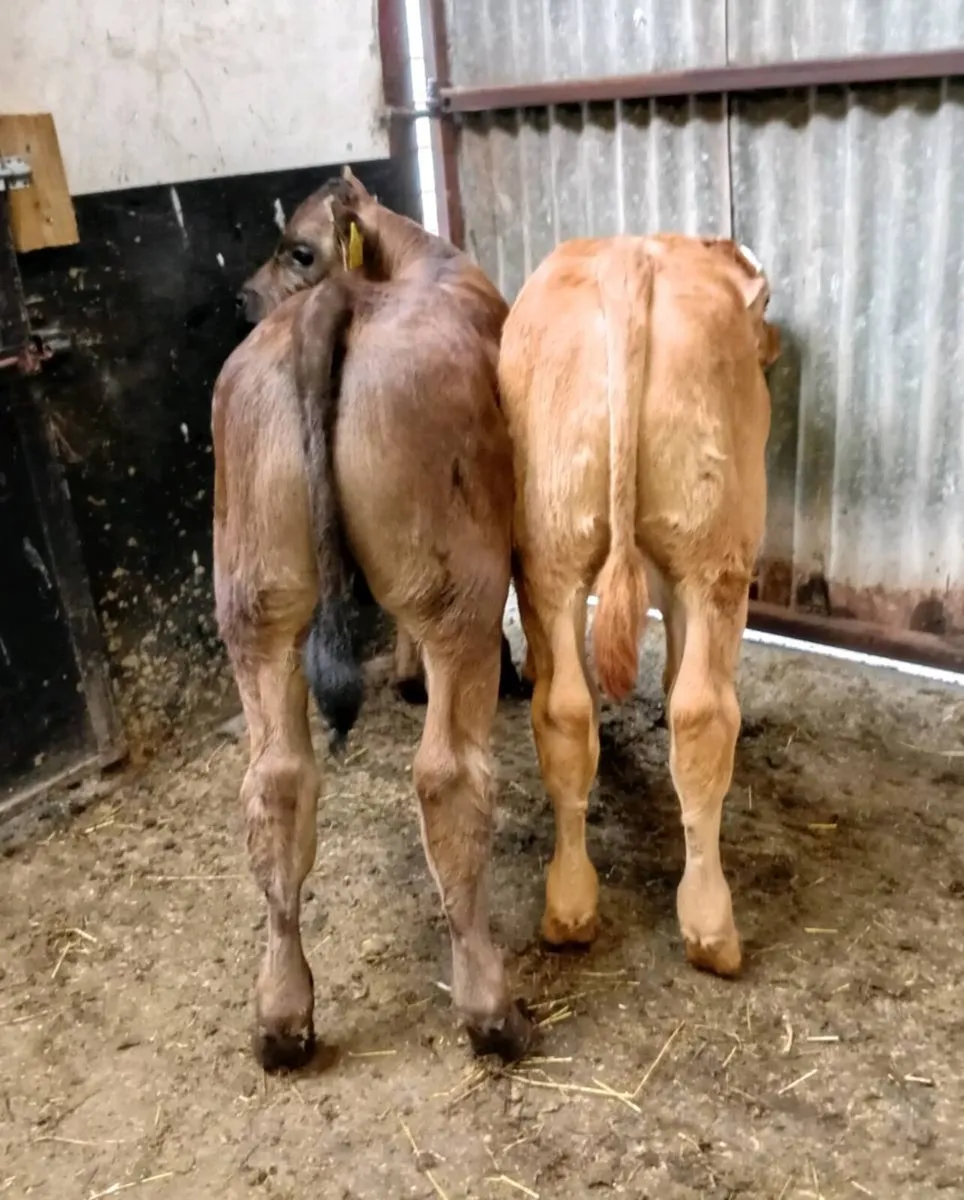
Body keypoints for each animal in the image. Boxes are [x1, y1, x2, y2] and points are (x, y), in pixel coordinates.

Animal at [498, 234, 780, 974]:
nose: (773, 343)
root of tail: (632, 257)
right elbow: (682, 676)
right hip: (717, 555)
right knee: (703, 714)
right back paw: (711, 927)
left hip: (548, 550)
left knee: (564, 711)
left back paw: (570, 907)